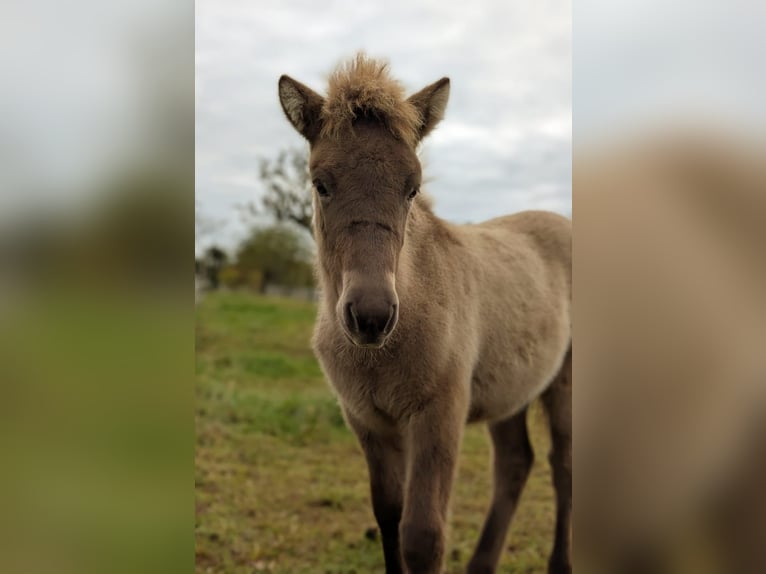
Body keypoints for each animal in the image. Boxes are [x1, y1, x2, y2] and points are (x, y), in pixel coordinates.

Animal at [277, 53, 572, 574]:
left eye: (411, 188)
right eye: (320, 183)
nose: (371, 316)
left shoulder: (440, 413)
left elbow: (422, 536)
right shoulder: (368, 422)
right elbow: (389, 519)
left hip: (565, 381)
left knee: (564, 466)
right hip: (512, 388)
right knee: (516, 463)